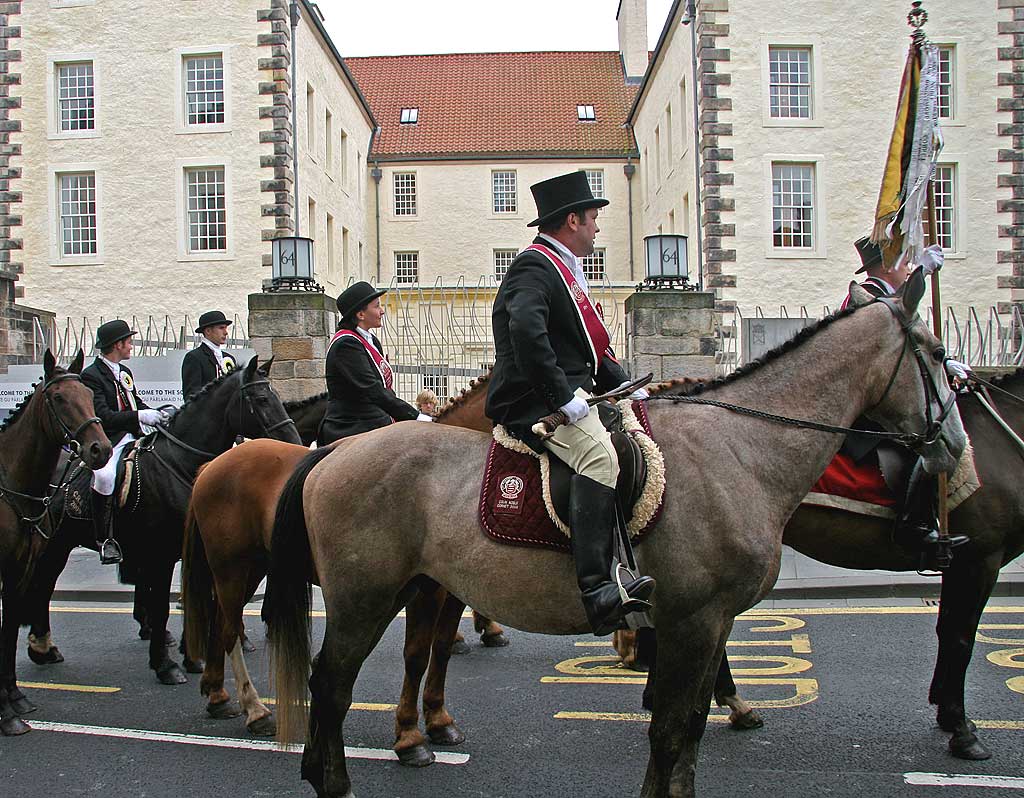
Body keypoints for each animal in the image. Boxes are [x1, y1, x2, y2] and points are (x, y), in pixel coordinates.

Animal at [0, 352, 111, 741]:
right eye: (59, 398)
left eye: (88, 395)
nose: (100, 449)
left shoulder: (18, 567)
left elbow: (8, 627)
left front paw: (14, 700)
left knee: (44, 586)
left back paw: (42, 647)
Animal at [23, 356, 299, 688]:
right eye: (261, 399)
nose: (295, 441)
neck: (182, 464)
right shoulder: (161, 554)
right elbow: (162, 607)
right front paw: (166, 665)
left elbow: (199, 598)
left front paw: (193, 655)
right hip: (55, 540)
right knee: (43, 582)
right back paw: (41, 646)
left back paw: (44, 646)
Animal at [180, 370, 503, 758]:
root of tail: (214, 463)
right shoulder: (425, 591)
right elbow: (416, 655)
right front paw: (410, 736)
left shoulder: (452, 592)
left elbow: (440, 649)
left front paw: (439, 720)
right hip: (232, 567)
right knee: (229, 629)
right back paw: (255, 710)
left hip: (252, 568)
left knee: (219, 622)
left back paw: (218, 695)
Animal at [266, 276, 966, 798]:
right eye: (935, 354)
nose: (955, 447)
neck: (741, 447)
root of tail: (331, 454)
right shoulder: (694, 618)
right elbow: (673, 728)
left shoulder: (710, 621)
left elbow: (687, 727)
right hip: (365, 597)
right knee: (331, 683)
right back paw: (337, 778)